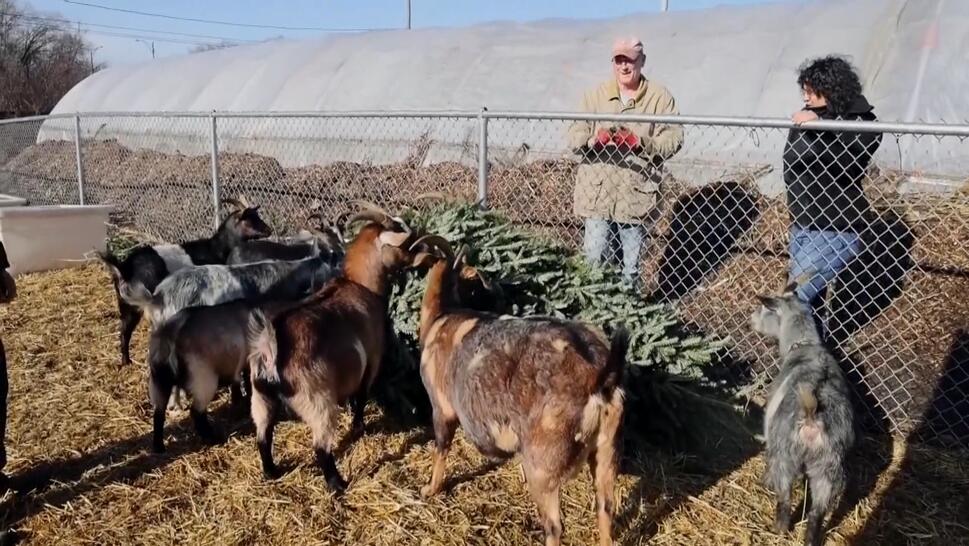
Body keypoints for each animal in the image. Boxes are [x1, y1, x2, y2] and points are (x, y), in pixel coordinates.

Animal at [98, 196, 270, 366]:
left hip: (127, 304)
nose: (269, 230)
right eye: (250, 219)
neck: (216, 248)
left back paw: (126, 362)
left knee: (124, 331)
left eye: (257, 216)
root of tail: (125, 268)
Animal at [246, 204, 432, 488]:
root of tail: (272, 347)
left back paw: (272, 472)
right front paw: (358, 428)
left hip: (261, 398)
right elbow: (361, 397)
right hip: (317, 399)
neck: (360, 284)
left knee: (263, 436)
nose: (423, 254)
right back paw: (338, 484)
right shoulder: (372, 360)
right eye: (404, 241)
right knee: (321, 446)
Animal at [410, 235, 628, 544]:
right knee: (606, 507)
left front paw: (430, 489)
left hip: (544, 461)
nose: (499, 295)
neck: (441, 316)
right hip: (607, 449)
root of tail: (601, 377)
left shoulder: (441, 408)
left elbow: (441, 448)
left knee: (555, 526)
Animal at [748, 288, 856, 544]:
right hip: (827, 466)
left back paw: (778, 529)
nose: (750, 321)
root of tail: (812, 418)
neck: (804, 345)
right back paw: (810, 538)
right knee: (817, 512)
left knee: (785, 499)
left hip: (785, 455)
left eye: (764, 309)